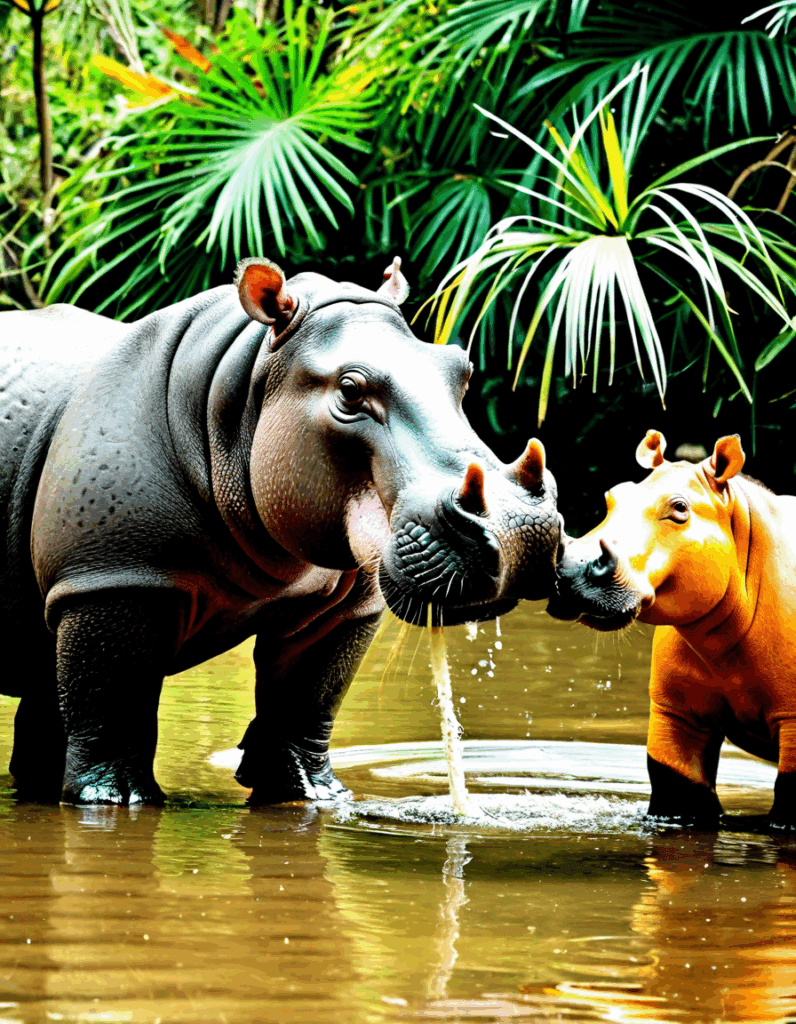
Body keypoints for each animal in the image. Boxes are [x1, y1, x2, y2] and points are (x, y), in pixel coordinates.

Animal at [0, 257, 561, 806]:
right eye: (350, 390)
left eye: (462, 371)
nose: (520, 530)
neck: (245, 385)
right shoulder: (116, 577)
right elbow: (116, 708)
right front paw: (116, 801)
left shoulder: (347, 603)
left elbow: (306, 702)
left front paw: (316, 796)